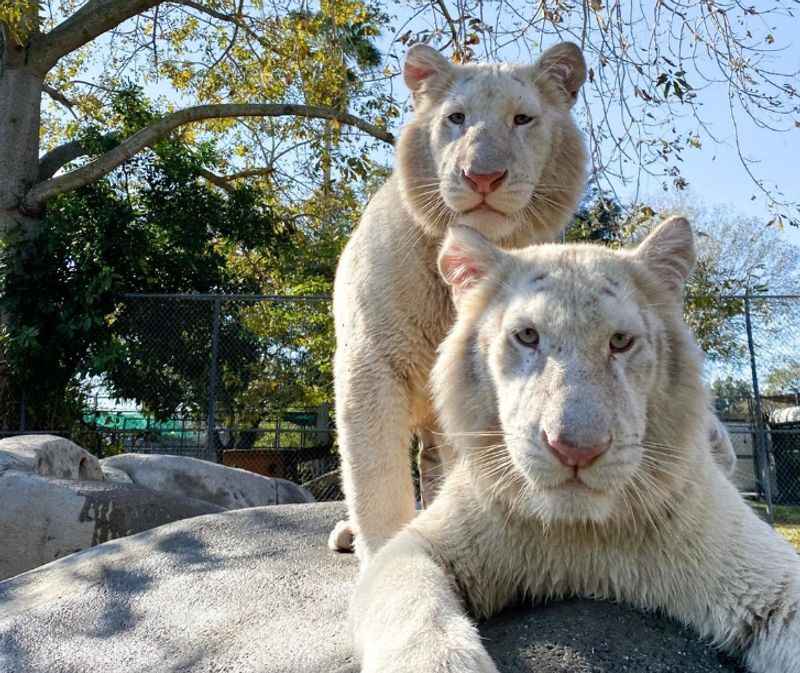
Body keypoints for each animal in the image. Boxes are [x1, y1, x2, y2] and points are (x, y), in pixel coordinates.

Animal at [352, 217, 800, 672]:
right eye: (527, 336)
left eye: (620, 341)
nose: (575, 449)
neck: (579, 536)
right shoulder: (414, 547)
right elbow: (412, 603)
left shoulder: (760, 570)